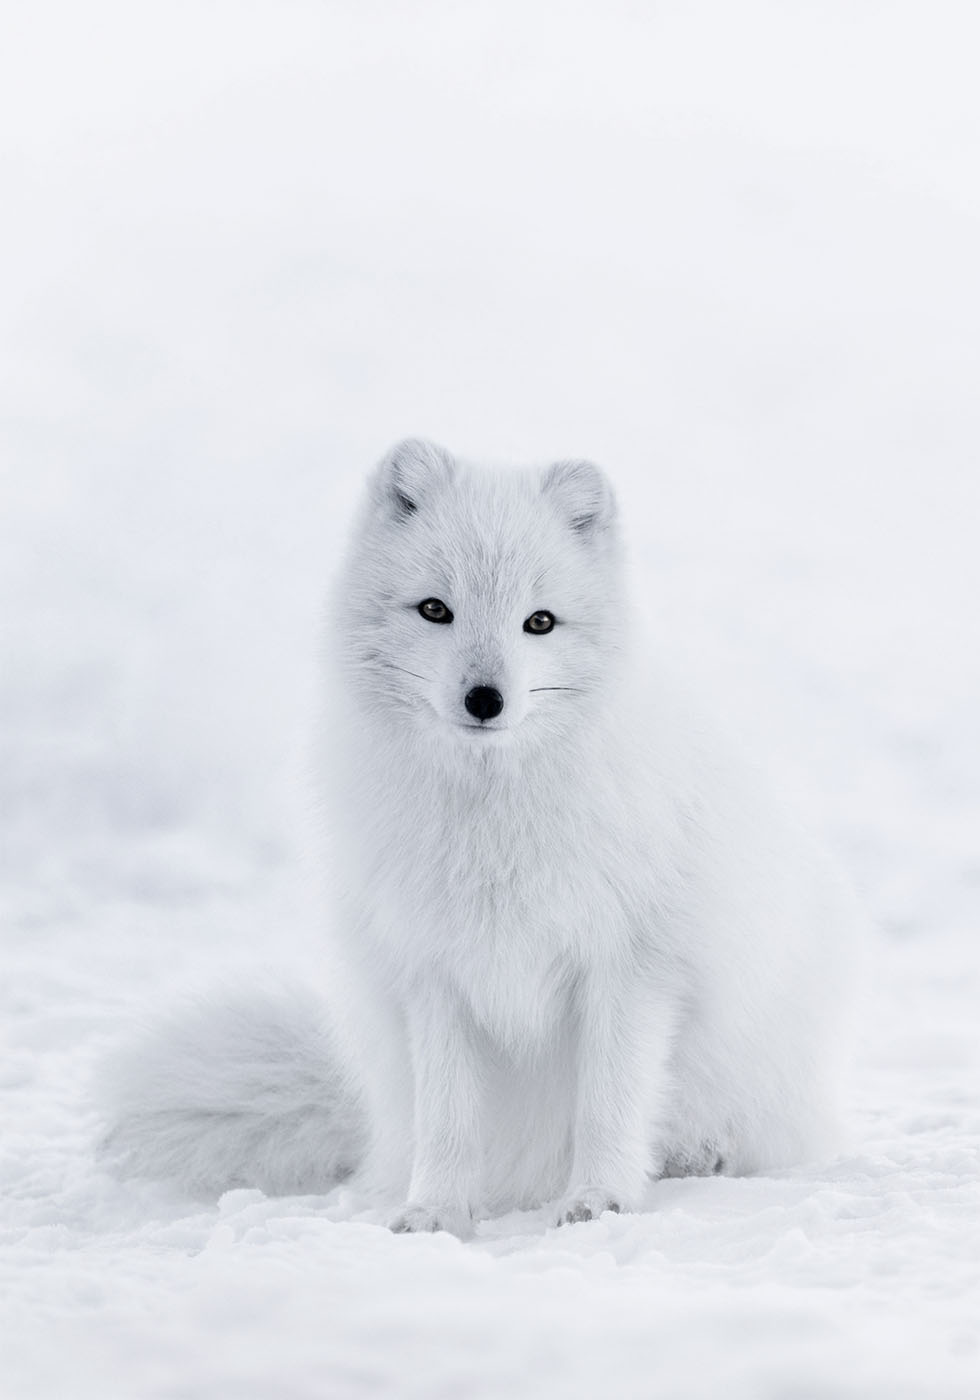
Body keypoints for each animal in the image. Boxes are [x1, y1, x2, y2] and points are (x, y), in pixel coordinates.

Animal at [102, 439, 858, 1235]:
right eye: (436, 609)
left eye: (540, 622)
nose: (485, 699)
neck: (493, 824)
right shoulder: (434, 974)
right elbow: (448, 1120)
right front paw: (434, 1212)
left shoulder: (631, 968)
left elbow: (608, 1104)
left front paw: (600, 1199)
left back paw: (700, 1155)